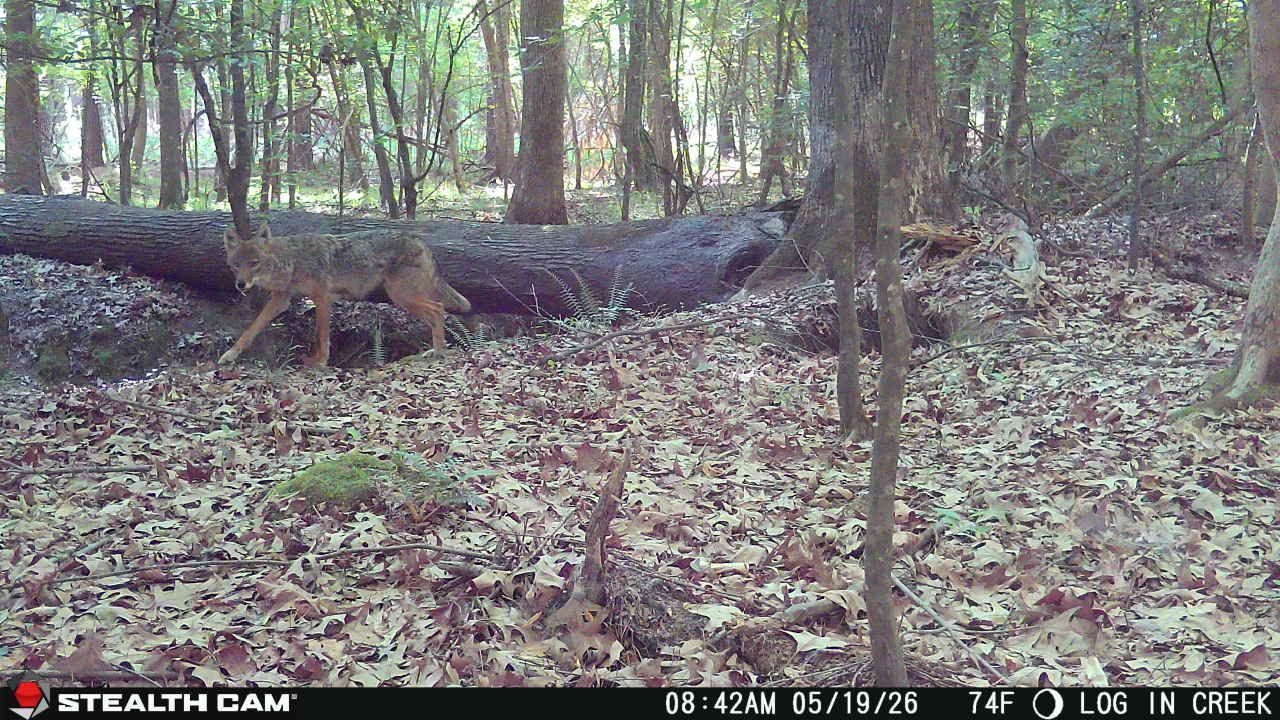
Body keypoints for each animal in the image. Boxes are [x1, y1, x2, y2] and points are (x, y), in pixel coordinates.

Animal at [219, 224, 471, 367]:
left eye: (254, 263)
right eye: (236, 265)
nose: (240, 284)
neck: (293, 261)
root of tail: (417, 237)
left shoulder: (322, 298)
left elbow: (322, 335)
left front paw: (320, 362)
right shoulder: (280, 300)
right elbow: (251, 329)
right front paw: (230, 355)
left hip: (402, 297)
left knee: (438, 309)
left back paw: (438, 352)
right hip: (403, 297)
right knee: (437, 310)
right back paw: (433, 350)